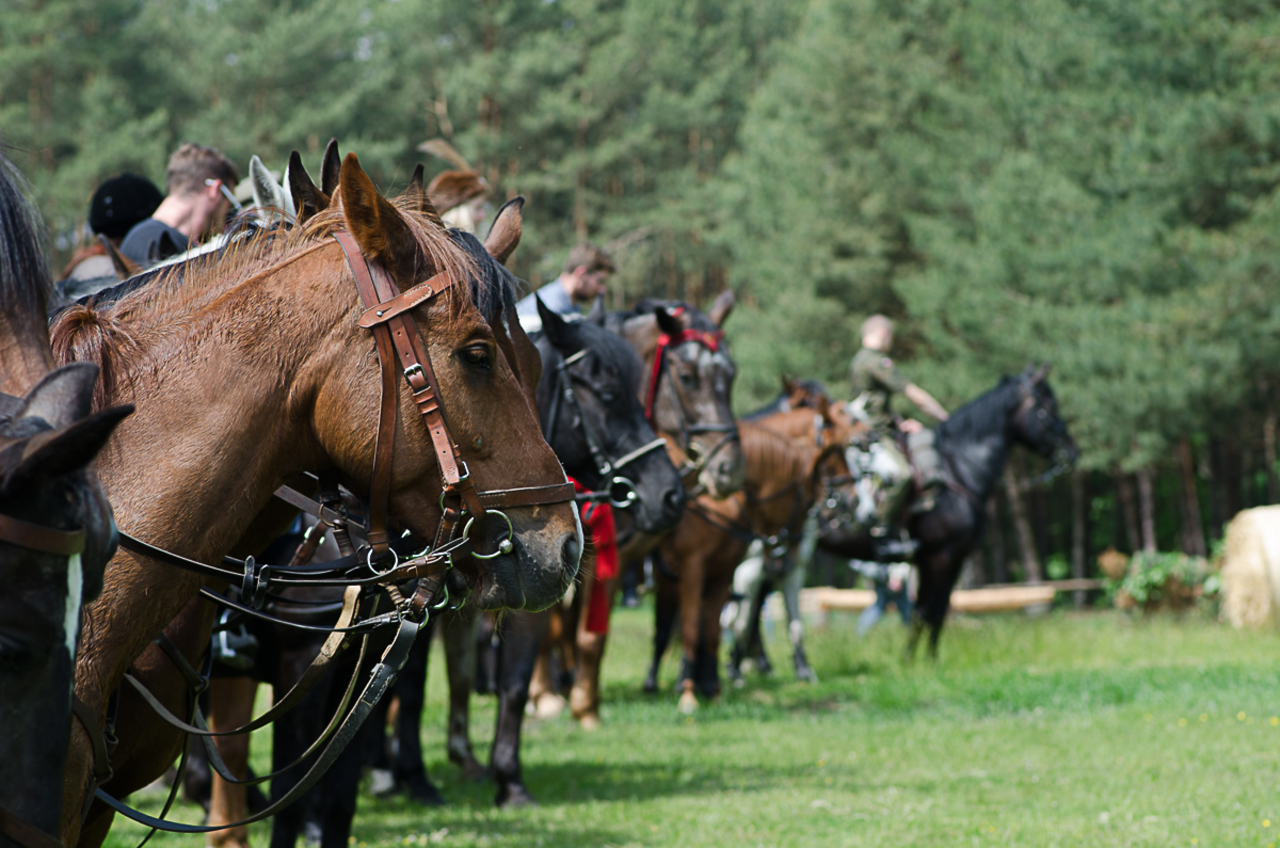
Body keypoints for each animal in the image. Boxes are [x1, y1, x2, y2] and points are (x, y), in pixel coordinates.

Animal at [814, 368, 1075, 660]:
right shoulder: (938, 556)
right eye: (1048, 406)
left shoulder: (955, 558)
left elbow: (937, 612)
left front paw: (930, 660)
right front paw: (910, 660)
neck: (959, 471)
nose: (1072, 451)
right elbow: (923, 611)